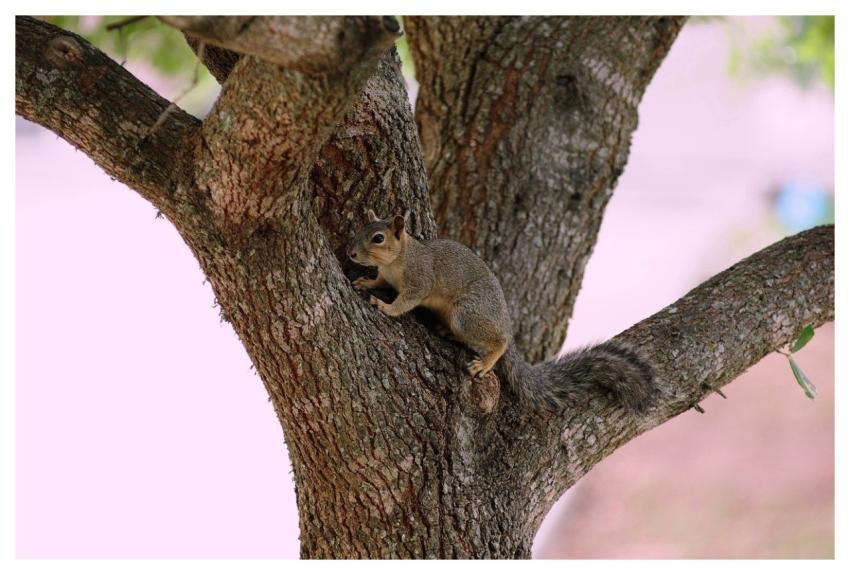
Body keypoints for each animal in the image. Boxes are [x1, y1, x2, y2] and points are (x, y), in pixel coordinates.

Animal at [348, 210, 656, 413]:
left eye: (378, 238)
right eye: (360, 230)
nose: (351, 253)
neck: (397, 259)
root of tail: (505, 320)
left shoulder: (419, 281)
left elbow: (405, 302)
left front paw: (385, 307)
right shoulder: (386, 276)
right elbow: (379, 281)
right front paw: (365, 282)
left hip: (468, 313)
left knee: (500, 340)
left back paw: (485, 362)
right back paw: (446, 331)